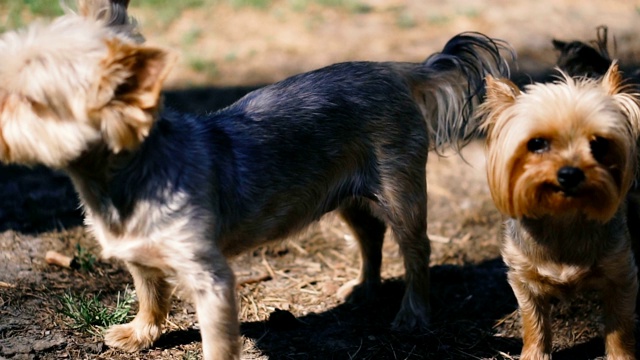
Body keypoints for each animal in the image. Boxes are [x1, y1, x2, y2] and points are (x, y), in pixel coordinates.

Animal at [0, 1, 512, 358]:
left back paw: (412, 314)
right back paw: (363, 289)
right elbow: (151, 293)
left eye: (29, 98)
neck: (124, 176)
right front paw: (141, 333)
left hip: (399, 190)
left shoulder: (210, 276)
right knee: (370, 236)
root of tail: (399, 72)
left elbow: (217, 338)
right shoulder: (140, 257)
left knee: (416, 250)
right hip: (346, 192)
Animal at [480, 64, 640, 360]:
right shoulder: (523, 277)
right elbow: (533, 321)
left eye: (599, 144)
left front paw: (620, 356)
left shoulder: (621, 271)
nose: (569, 173)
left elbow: (620, 324)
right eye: (537, 143)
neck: (564, 215)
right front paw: (534, 354)